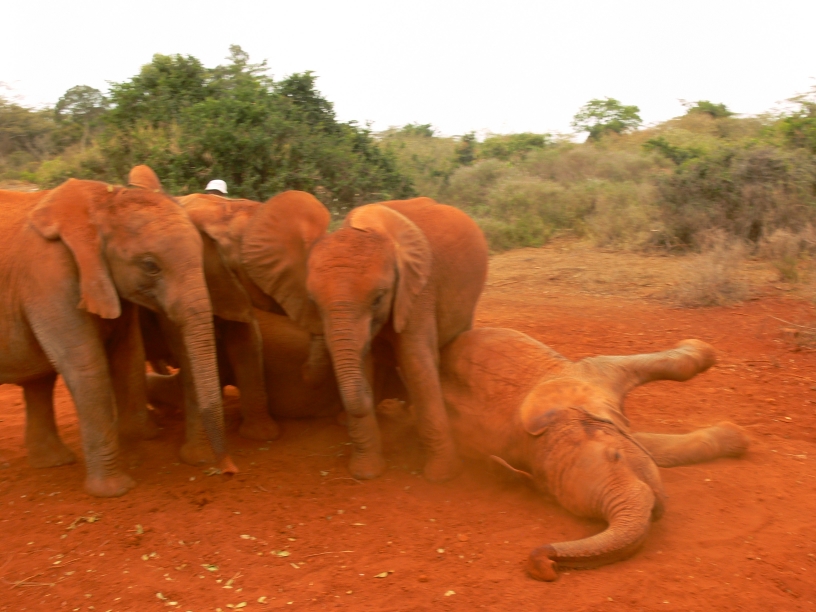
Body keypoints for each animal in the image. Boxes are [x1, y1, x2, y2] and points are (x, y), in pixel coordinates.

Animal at [0, 173, 234, 497]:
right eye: (150, 266)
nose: (227, 470)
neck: (101, 205)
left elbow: (129, 358)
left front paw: (134, 460)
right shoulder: (47, 277)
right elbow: (87, 367)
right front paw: (114, 490)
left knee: (39, 382)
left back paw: (53, 462)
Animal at [238, 193, 489, 481]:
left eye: (379, 298)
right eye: (313, 302)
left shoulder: (418, 291)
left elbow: (416, 364)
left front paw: (442, 476)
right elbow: (365, 364)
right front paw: (366, 473)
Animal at [400, 328, 749, 580]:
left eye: (616, 457)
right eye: (587, 517)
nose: (545, 566)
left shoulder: (590, 376)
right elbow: (649, 447)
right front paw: (737, 439)